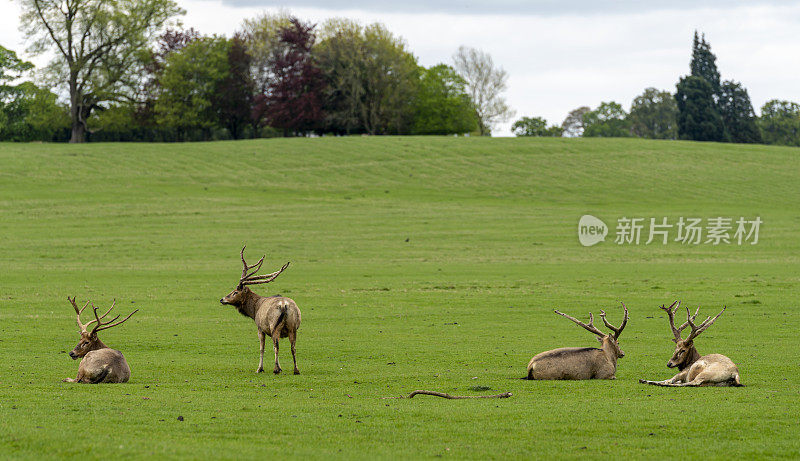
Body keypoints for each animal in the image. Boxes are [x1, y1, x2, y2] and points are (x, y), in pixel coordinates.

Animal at [220, 244, 302, 374]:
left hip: (275, 327)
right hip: (293, 327)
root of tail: (284, 305)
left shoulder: (260, 327)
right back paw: (296, 370)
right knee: (293, 347)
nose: (222, 299)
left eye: (235, 292)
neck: (254, 309)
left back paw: (276, 369)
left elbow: (261, 348)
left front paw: (260, 368)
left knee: (276, 346)